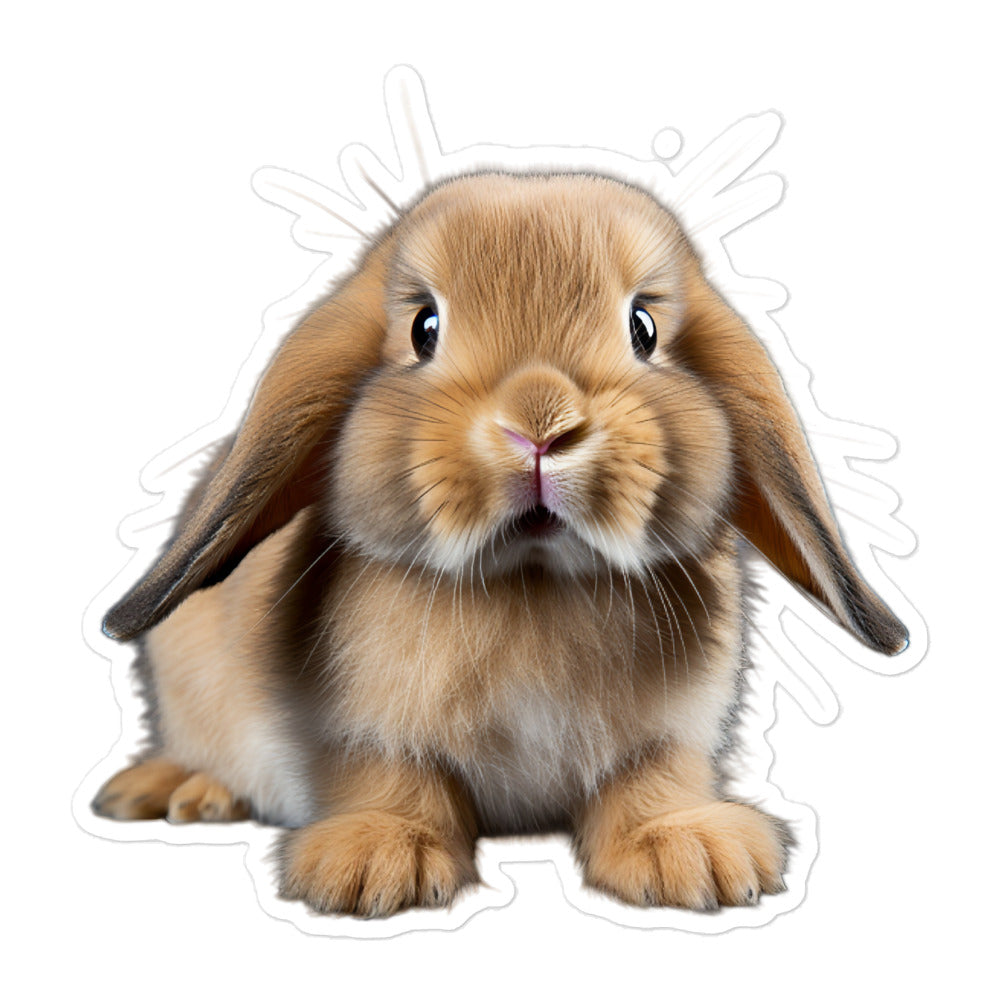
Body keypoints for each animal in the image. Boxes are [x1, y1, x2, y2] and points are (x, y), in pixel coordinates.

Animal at [92, 171, 908, 917]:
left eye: (643, 329)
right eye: (424, 328)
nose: (541, 423)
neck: (532, 586)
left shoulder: (671, 734)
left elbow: (651, 779)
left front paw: (694, 856)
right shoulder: (364, 731)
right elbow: (391, 775)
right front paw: (375, 864)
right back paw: (180, 790)